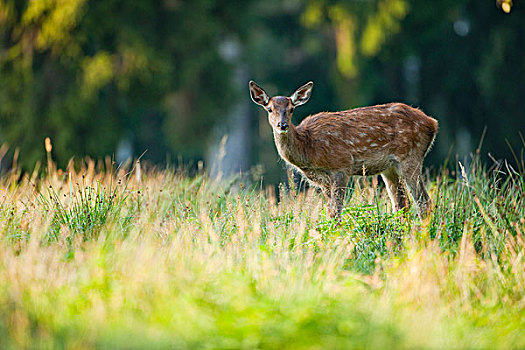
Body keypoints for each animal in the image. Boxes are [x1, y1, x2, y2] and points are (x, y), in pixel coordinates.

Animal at [248, 81, 436, 219]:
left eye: (291, 109)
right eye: (270, 109)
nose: (282, 125)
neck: (309, 148)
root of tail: (432, 123)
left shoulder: (341, 167)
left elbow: (335, 212)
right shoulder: (323, 180)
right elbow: (330, 211)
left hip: (410, 156)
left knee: (424, 201)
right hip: (389, 168)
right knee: (401, 204)